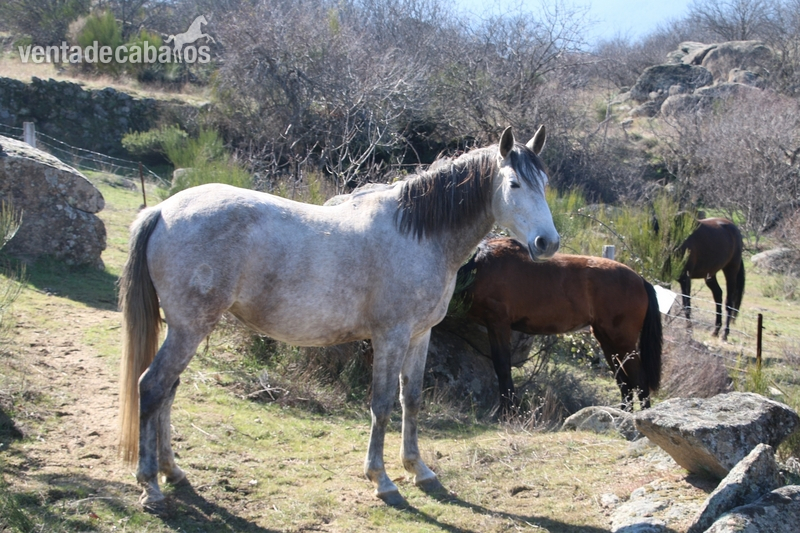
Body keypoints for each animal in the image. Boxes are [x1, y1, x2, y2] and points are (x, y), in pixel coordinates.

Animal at [118, 126, 560, 508]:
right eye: (514, 184)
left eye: (544, 183)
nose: (548, 243)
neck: (419, 234)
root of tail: (162, 210)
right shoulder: (390, 335)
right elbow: (382, 404)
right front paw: (382, 480)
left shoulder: (420, 335)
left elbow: (412, 400)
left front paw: (419, 470)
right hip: (189, 328)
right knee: (152, 387)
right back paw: (150, 486)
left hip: (185, 329)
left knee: (168, 391)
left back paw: (173, 473)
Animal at [456, 237, 662, 413]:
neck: (481, 266)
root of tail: (641, 280)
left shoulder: (498, 324)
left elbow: (502, 367)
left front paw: (506, 411)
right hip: (607, 341)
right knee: (624, 382)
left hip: (623, 343)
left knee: (639, 381)